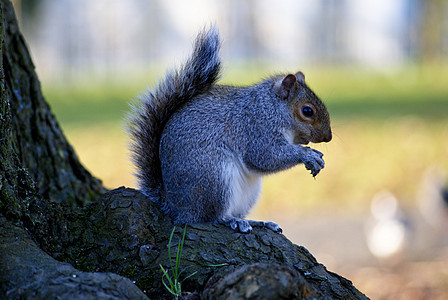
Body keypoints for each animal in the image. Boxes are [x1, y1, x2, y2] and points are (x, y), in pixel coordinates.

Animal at [128, 27, 330, 233]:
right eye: (307, 111)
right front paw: (307, 155)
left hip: (246, 193)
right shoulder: (256, 127)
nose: (328, 137)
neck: (271, 106)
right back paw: (230, 220)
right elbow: (266, 156)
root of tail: (177, 208)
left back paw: (257, 222)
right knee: (209, 217)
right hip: (214, 179)